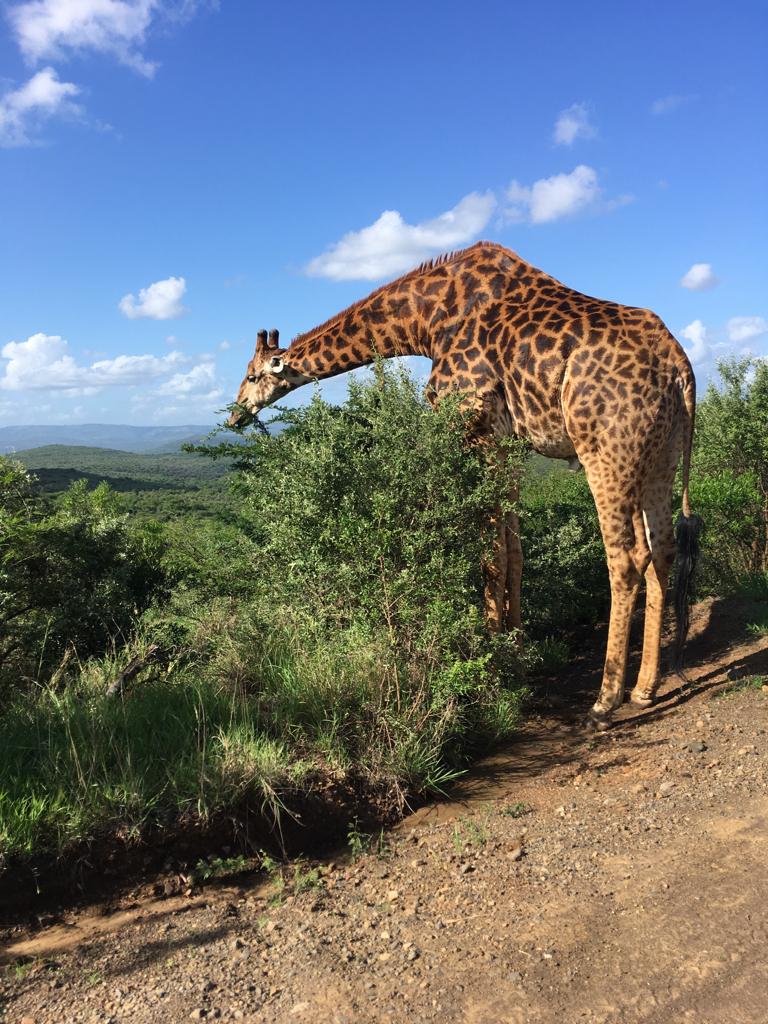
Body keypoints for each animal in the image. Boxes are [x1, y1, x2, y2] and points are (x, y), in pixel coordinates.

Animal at [230, 241, 704, 729]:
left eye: (251, 376)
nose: (234, 414)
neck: (425, 322)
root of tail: (680, 367)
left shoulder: (474, 429)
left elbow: (489, 554)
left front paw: (489, 660)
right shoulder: (510, 444)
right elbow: (514, 551)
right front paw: (515, 650)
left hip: (606, 451)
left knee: (626, 559)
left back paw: (605, 701)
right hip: (662, 455)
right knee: (662, 549)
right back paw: (645, 688)